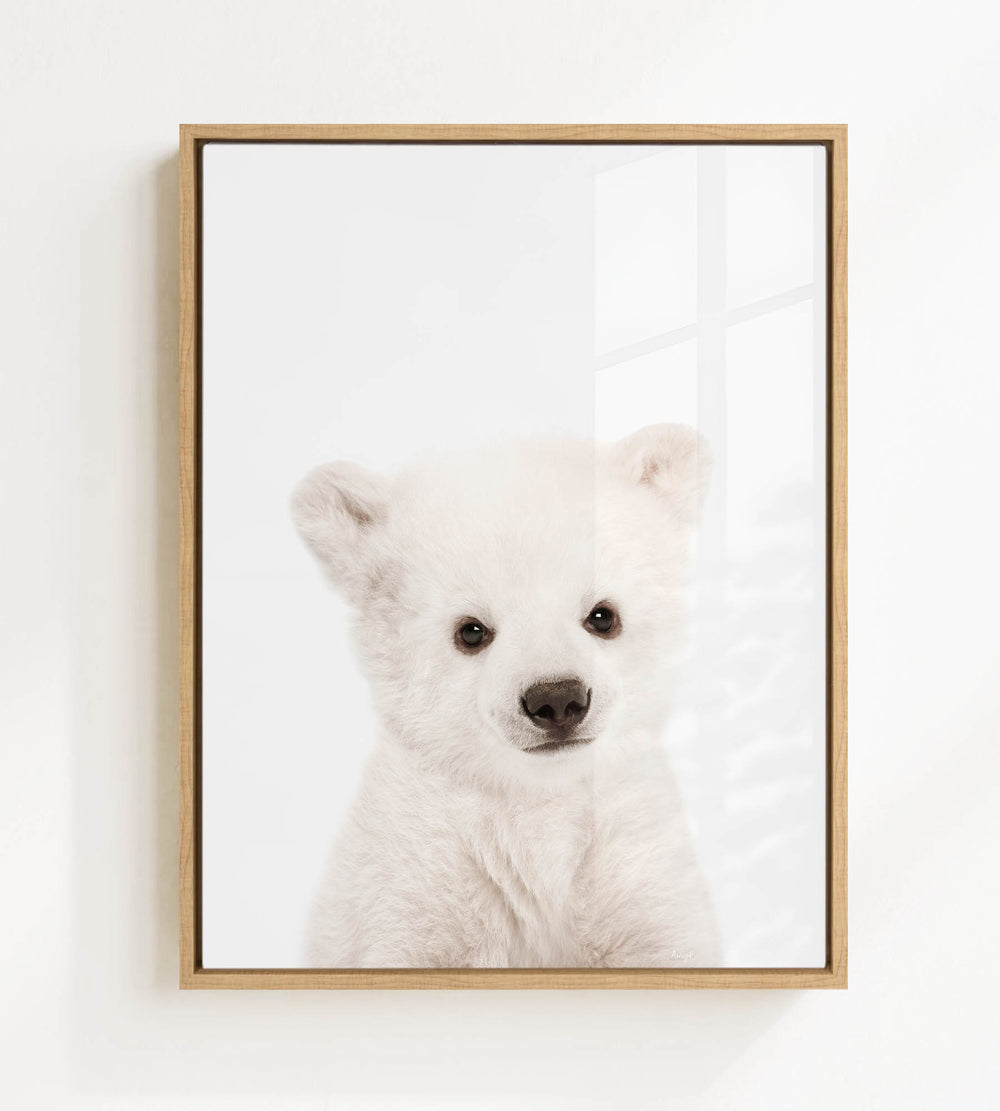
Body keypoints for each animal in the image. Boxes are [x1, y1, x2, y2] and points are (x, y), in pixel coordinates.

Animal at [292, 423, 720, 968]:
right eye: (471, 631)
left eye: (603, 615)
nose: (557, 700)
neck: (537, 802)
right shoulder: (415, 870)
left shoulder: (633, 860)